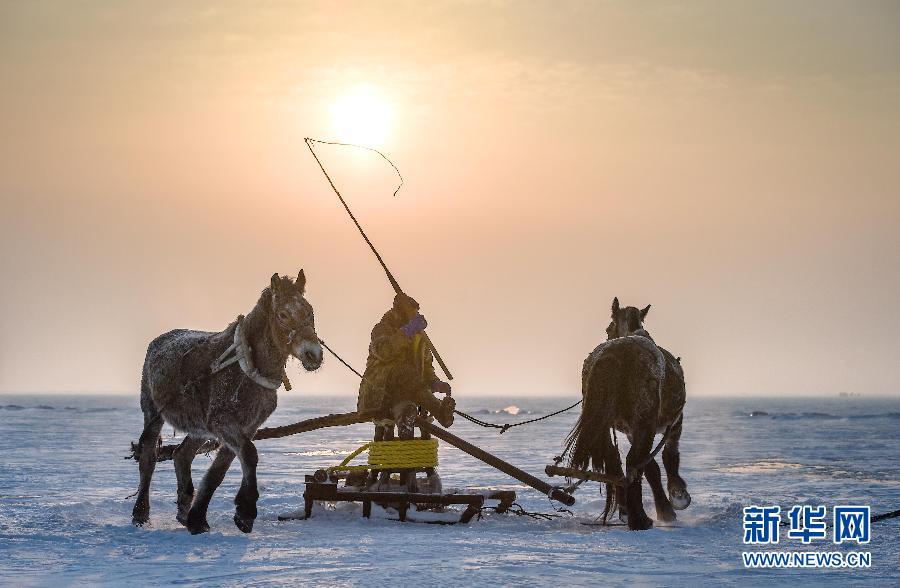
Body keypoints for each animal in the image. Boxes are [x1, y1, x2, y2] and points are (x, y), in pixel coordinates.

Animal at [132, 271, 323, 534]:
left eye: (310, 311)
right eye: (283, 315)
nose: (314, 354)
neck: (247, 366)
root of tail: (158, 342)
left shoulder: (247, 425)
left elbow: (221, 469)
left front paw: (199, 519)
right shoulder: (222, 422)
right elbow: (249, 454)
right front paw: (246, 511)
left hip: (199, 425)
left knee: (182, 455)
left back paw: (184, 512)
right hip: (153, 412)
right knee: (148, 458)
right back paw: (140, 514)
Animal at [565, 297, 690, 530]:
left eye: (607, 328)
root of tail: (613, 354)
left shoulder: (632, 431)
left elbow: (652, 467)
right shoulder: (674, 423)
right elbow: (668, 457)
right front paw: (677, 497)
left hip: (605, 425)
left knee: (615, 460)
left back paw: (627, 511)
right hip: (645, 423)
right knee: (633, 463)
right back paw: (639, 518)